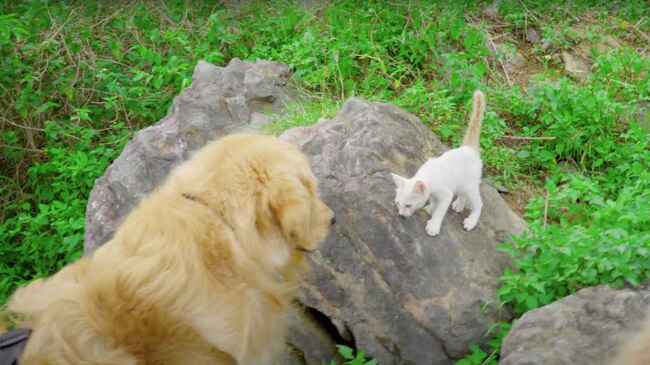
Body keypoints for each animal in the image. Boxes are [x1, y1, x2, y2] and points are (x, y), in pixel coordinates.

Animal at [388, 89, 484, 235]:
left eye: (408, 205)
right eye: (398, 203)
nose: (401, 215)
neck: (428, 176)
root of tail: (468, 148)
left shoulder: (446, 194)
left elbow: (440, 210)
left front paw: (433, 225)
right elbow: (434, 200)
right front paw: (431, 207)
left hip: (471, 185)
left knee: (479, 203)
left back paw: (471, 221)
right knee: (463, 193)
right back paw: (459, 204)